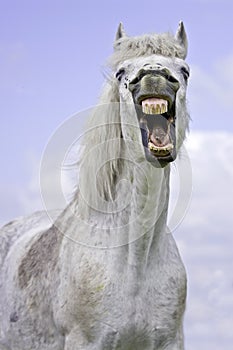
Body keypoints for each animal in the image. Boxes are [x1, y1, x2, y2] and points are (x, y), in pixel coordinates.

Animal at [0, 22, 189, 350]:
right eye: (120, 72)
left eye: (184, 70)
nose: (154, 75)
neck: (135, 261)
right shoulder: (84, 341)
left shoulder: (170, 341)